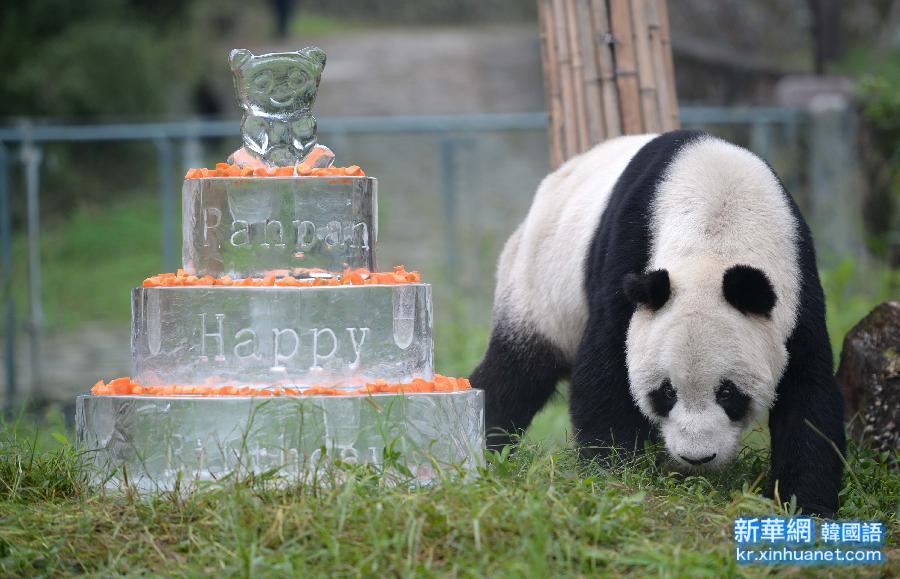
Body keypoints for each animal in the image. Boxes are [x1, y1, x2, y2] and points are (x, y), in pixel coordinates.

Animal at [474, 130, 848, 516]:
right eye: (667, 391)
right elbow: (606, 369)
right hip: (540, 282)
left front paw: (807, 505)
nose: (696, 457)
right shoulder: (629, 255)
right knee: (516, 372)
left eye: (728, 392)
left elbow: (809, 394)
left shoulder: (797, 288)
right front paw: (614, 475)